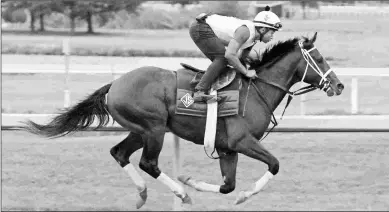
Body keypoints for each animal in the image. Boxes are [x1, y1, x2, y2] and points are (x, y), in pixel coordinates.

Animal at [21, 32, 342, 210]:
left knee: (119, 153)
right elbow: (273, 165)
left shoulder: (227, 148)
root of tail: (115, 83)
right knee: (148, 163)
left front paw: (193, 180)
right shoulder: (242, 141)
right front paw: (239, 196)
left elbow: (227, 185)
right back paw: (180, 193)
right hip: (154, 128)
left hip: (141, 130)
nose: (338, 86)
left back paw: (143, 194)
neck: (256, 88)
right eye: (320, 59)